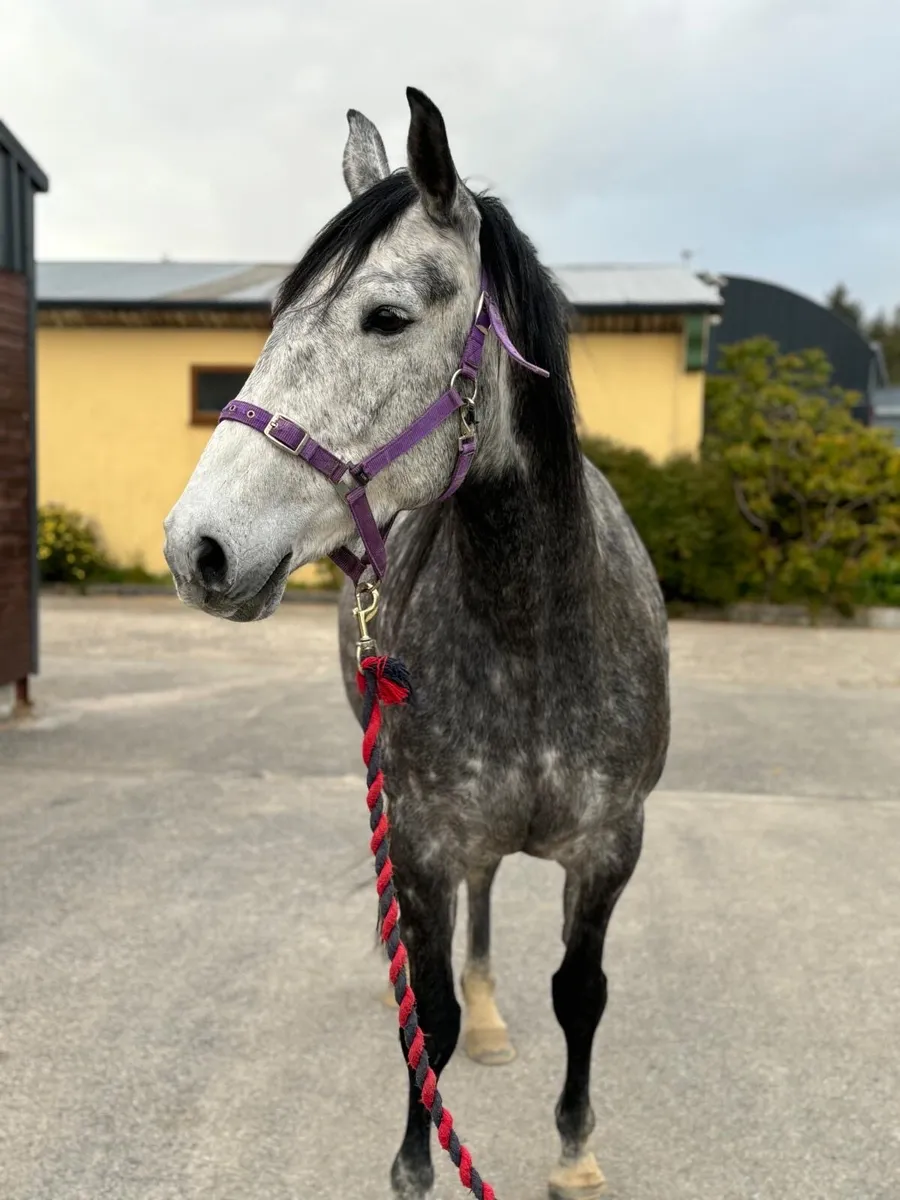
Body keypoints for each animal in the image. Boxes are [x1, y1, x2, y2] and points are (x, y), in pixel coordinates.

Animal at [164, 87, 670, 1200]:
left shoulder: (610, 847)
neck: (534, 636)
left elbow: (583, 992)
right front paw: (413, 1162)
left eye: (386, 318)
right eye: (274, 321)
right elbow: (422, 1018)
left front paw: (575, 1149)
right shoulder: (423, 836)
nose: (196, 547)